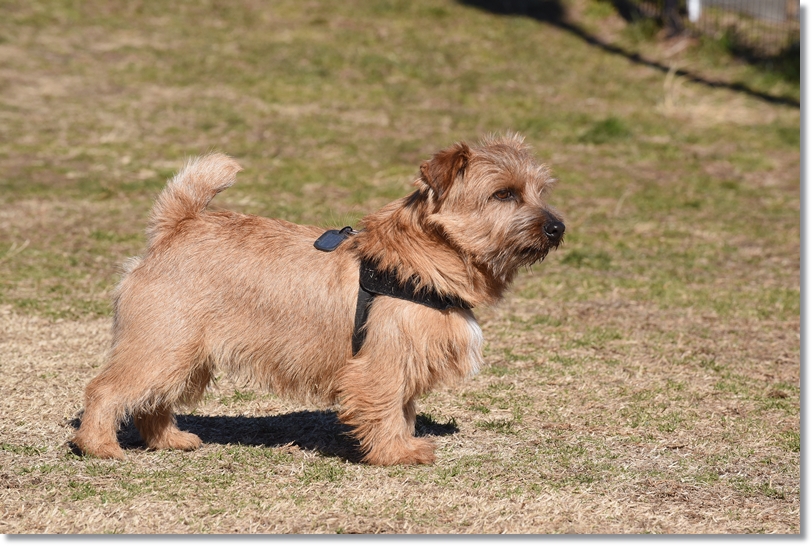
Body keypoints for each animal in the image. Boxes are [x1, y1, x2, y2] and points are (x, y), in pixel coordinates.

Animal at [74, 135, 564, 464]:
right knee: (106, 389)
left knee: (153, 400)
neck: (425, 259)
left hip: (185, 355)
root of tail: (176, 226)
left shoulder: (404, 358)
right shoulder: (383, 362)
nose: (557, 226)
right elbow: (387, 407)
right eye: (503, 193)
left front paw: (402, 444)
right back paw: (98, 446)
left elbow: (404, 408)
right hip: (163, 345)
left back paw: (169, 440)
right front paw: (397, 453)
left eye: (540, 191)